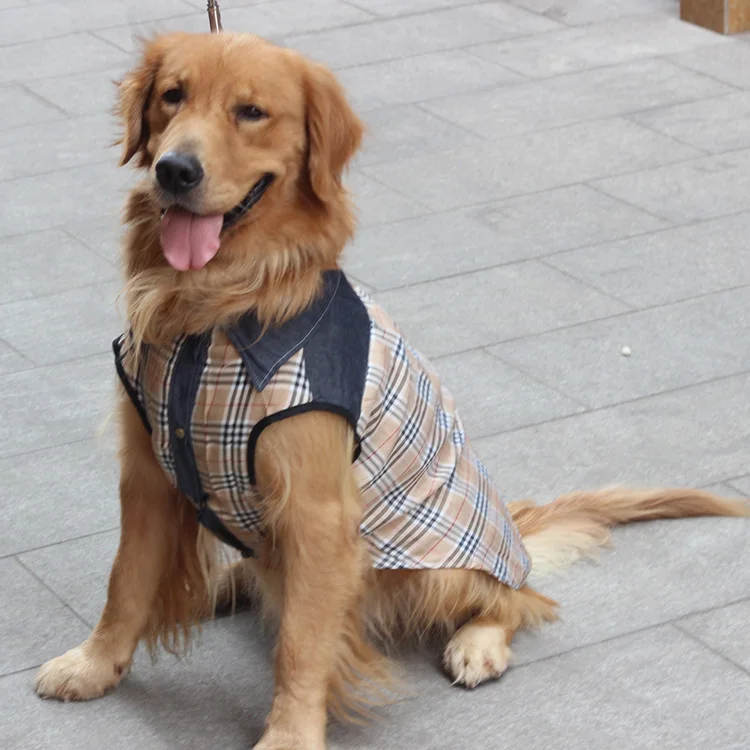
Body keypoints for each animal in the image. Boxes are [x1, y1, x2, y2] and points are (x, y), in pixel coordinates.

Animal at [34, 32, 749, 750]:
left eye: (251, 112)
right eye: (171, 96)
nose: (175, 170)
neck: (218, 314)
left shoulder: (317, 509)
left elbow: (302, 642)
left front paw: (290, 732)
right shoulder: (149, 470)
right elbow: (126, 583)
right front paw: (95, 664)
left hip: (439, 569)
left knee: (519, 596)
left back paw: (480, 640)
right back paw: (217, 586)